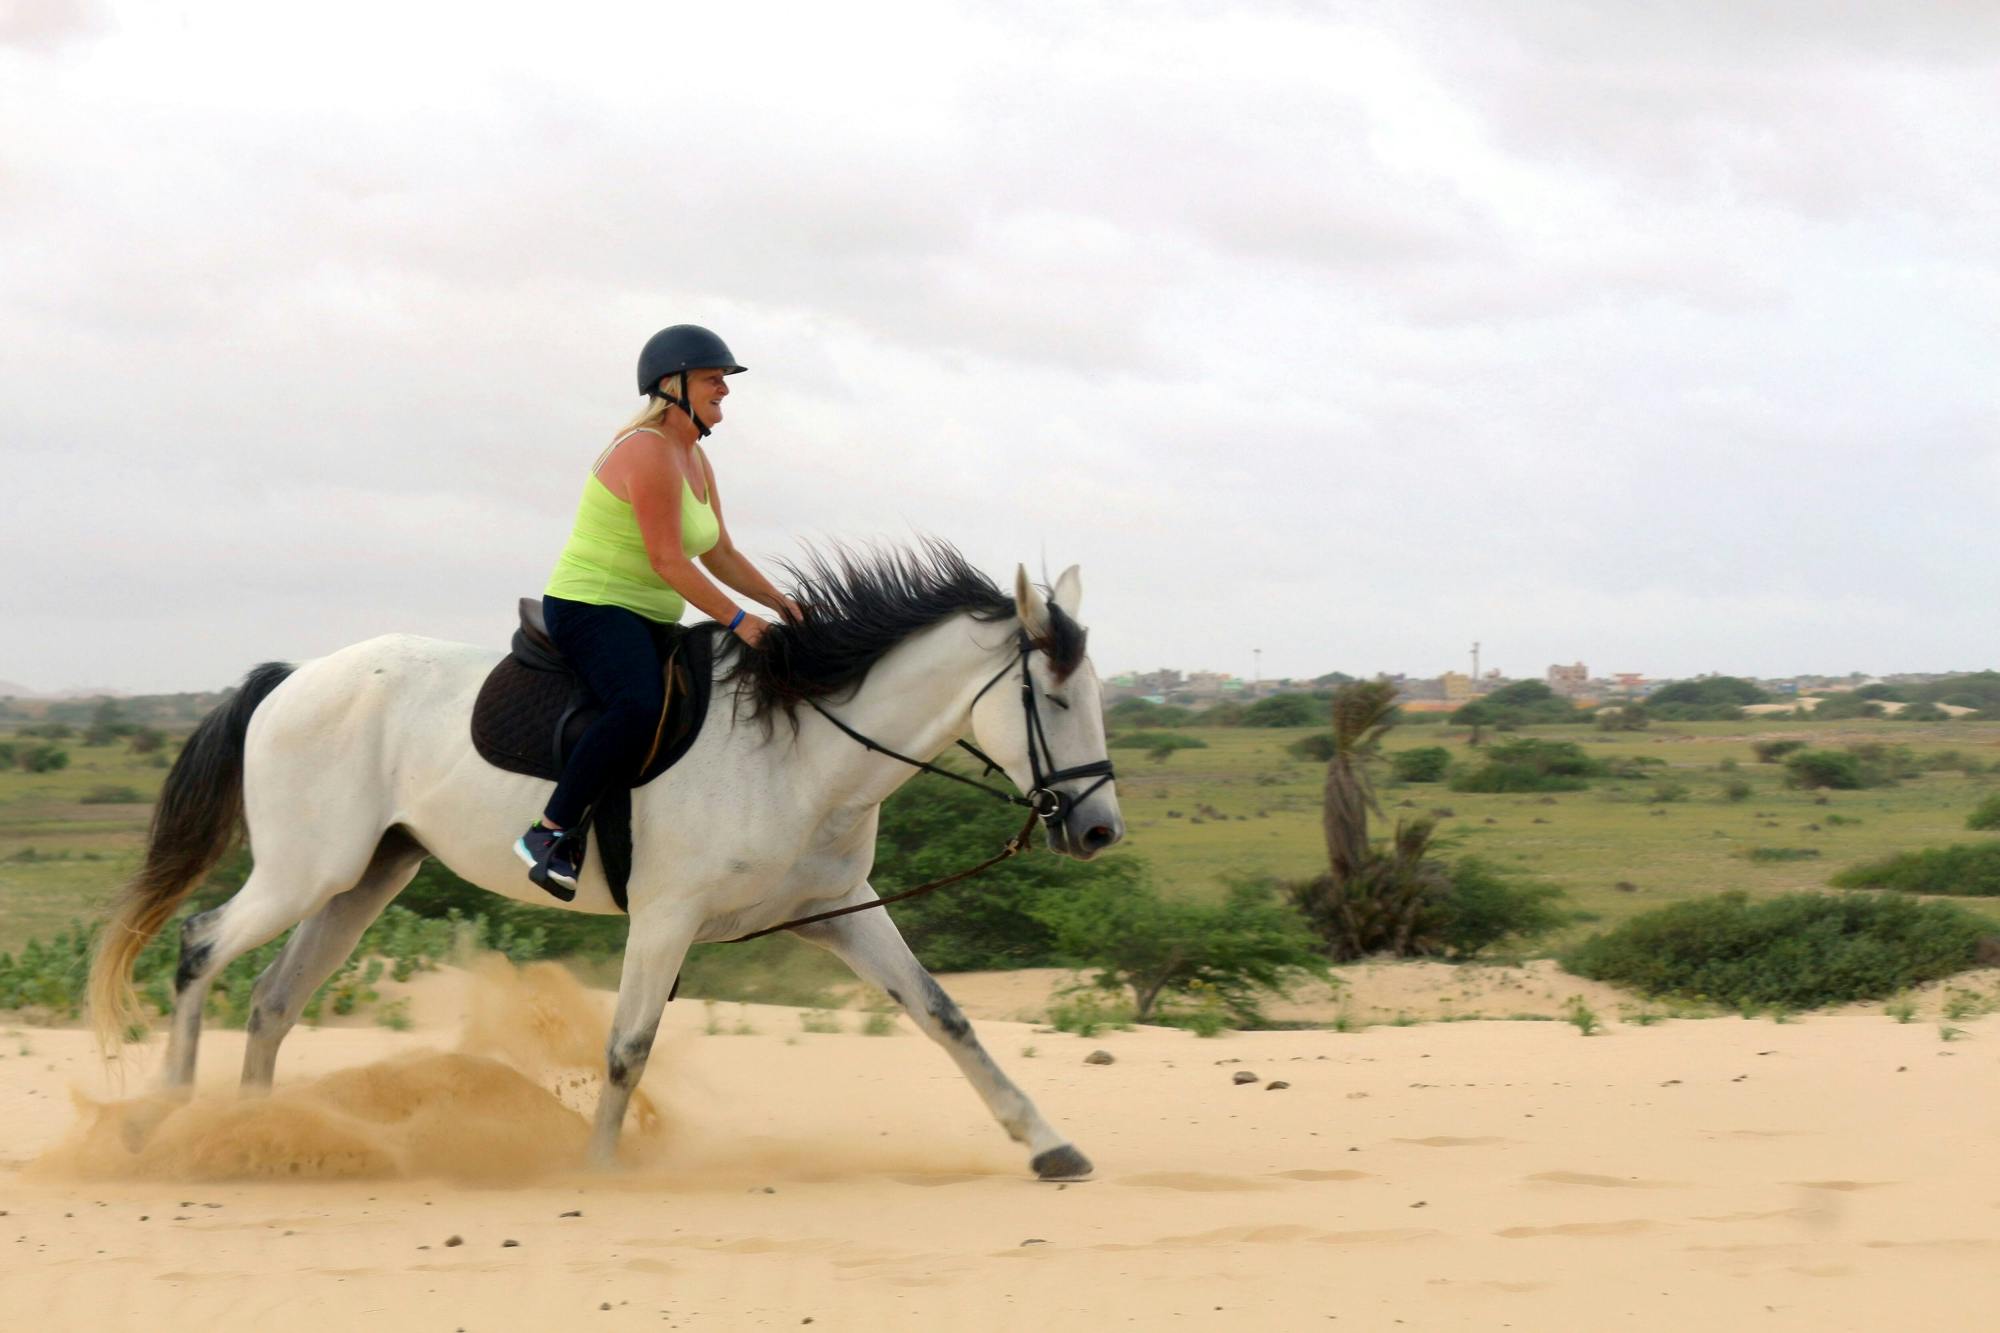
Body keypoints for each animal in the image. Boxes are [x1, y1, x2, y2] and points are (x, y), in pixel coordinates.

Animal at [90, 544, 1128, 1176]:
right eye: (1051, 696)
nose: (1097, 831)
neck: (799, 748)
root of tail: (290, 679)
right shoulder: (668, 916)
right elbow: (628, 1046)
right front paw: (597, 1169)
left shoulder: (841, 910)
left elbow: (946, 1016)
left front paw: (1048, 1144)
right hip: (308, 872)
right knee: (200, 945)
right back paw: (167, 1115)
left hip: (367, 878)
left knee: (273, 997)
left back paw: (255, 1130)